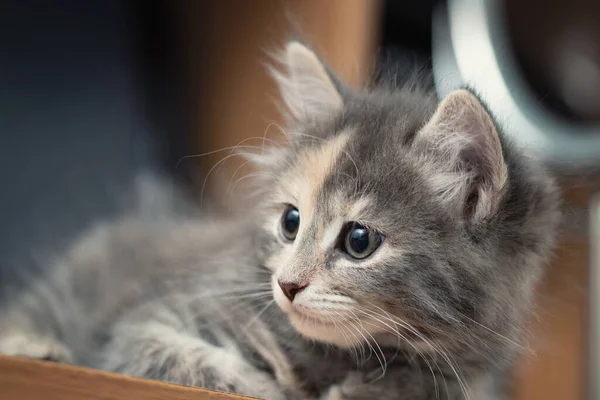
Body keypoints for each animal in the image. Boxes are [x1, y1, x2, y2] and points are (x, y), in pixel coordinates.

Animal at [1, 41, 564, 400]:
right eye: (291, 223)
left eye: (359, 241)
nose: (287, 285)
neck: (340, 357)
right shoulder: (146, 324)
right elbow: (193, 364)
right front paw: (272, 387)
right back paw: (36, 345)